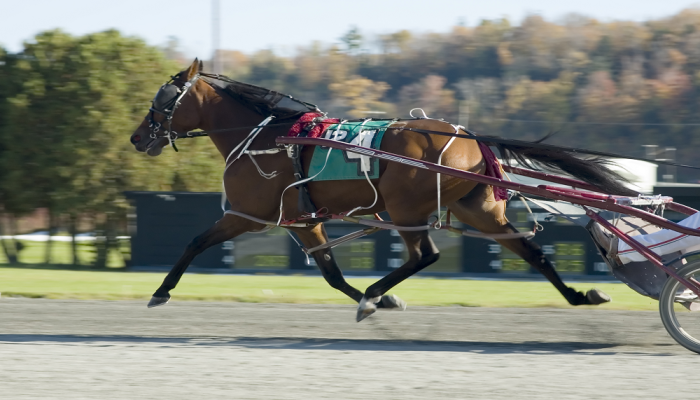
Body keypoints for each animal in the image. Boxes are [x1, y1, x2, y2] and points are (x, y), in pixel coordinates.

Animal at [130, 59, 636, 320]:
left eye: (161, 100)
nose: (137, 137)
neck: (267, 136)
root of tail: (471, 137)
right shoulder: (303, 221)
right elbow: (331, 273)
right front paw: (379, 299)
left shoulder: (245, 214)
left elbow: (195, 242)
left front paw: (160, 291)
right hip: (474, 208)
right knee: (528, 250)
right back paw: (579, 296)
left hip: (404, 206)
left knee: (426, 254)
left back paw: (375, 292)